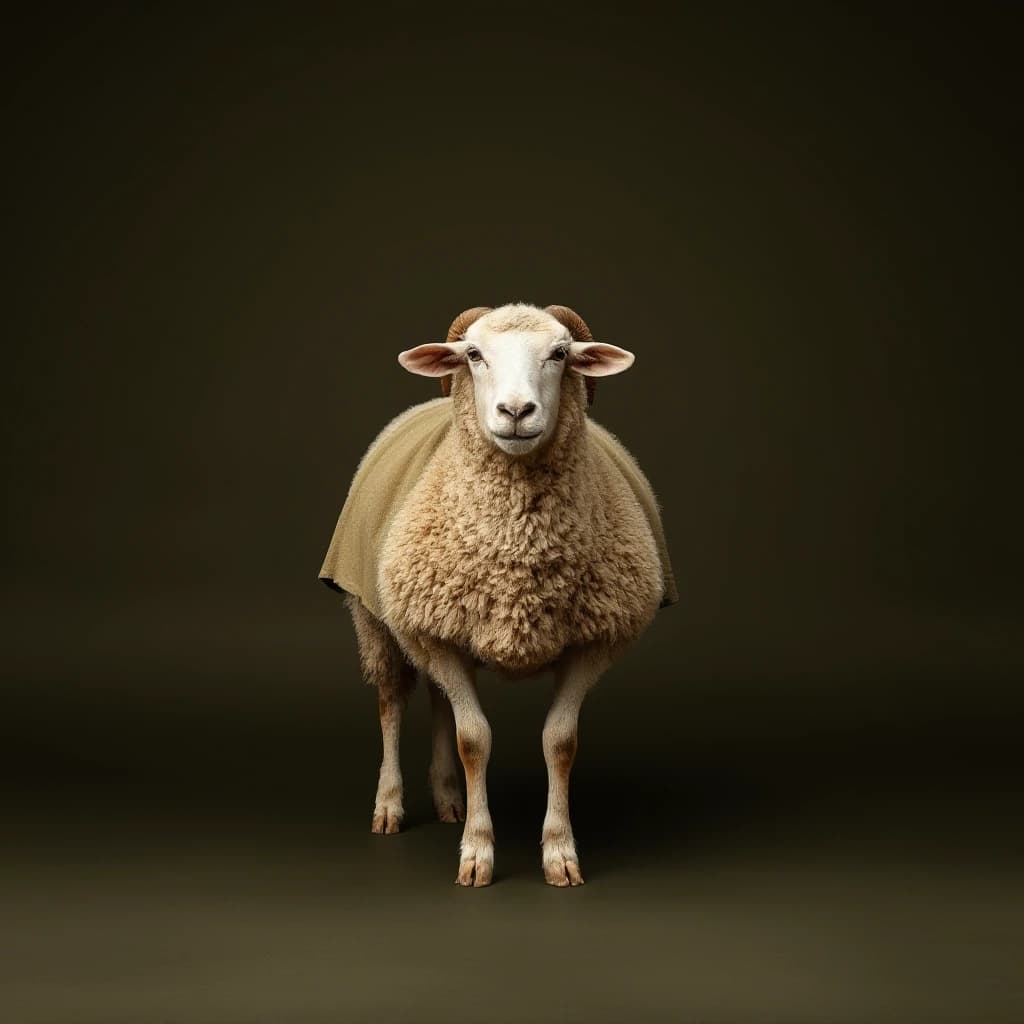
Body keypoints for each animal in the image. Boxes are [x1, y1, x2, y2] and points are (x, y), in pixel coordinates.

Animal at [319, 303, 678, 887]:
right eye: (473, 354)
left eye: (560, 354)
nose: (514, 411)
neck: (517, 552)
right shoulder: (428, 631)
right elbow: (475, 740)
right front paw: (477, 853)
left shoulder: (592, 641)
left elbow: (559, 742)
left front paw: (559, 852)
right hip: (377, 616)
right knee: (391, 702)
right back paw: (390, 804)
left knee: (439, 698)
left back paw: (448, 798)